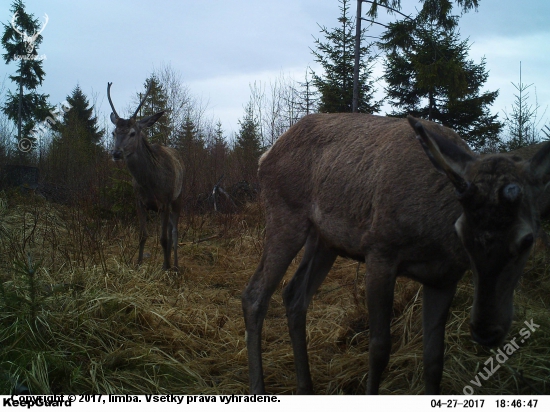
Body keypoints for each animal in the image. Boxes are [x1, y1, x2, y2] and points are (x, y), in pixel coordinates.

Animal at [108, 82, 185, 272]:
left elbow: (163, 238)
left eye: (133, 133)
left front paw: (166, 267)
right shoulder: (139, 202)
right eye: (114, 133)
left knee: (174, 232)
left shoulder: (165, 201)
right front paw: (138, 264)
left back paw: (175, 265)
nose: (116, 153)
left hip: (178, 197)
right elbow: (143, 235)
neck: (149, 182)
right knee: (171, 230)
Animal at [243, 113, 550, 396]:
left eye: (528, 240)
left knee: (294, 295)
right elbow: (379, 349)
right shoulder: (379, 252)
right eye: (461, 232)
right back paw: (258, 387)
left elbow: (434, 361)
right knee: (254, 295)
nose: (485, 330)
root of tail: (264, 156)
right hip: (286, 216)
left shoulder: (444, 278)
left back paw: (305, 387)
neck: (435, 238)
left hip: (325, 241)